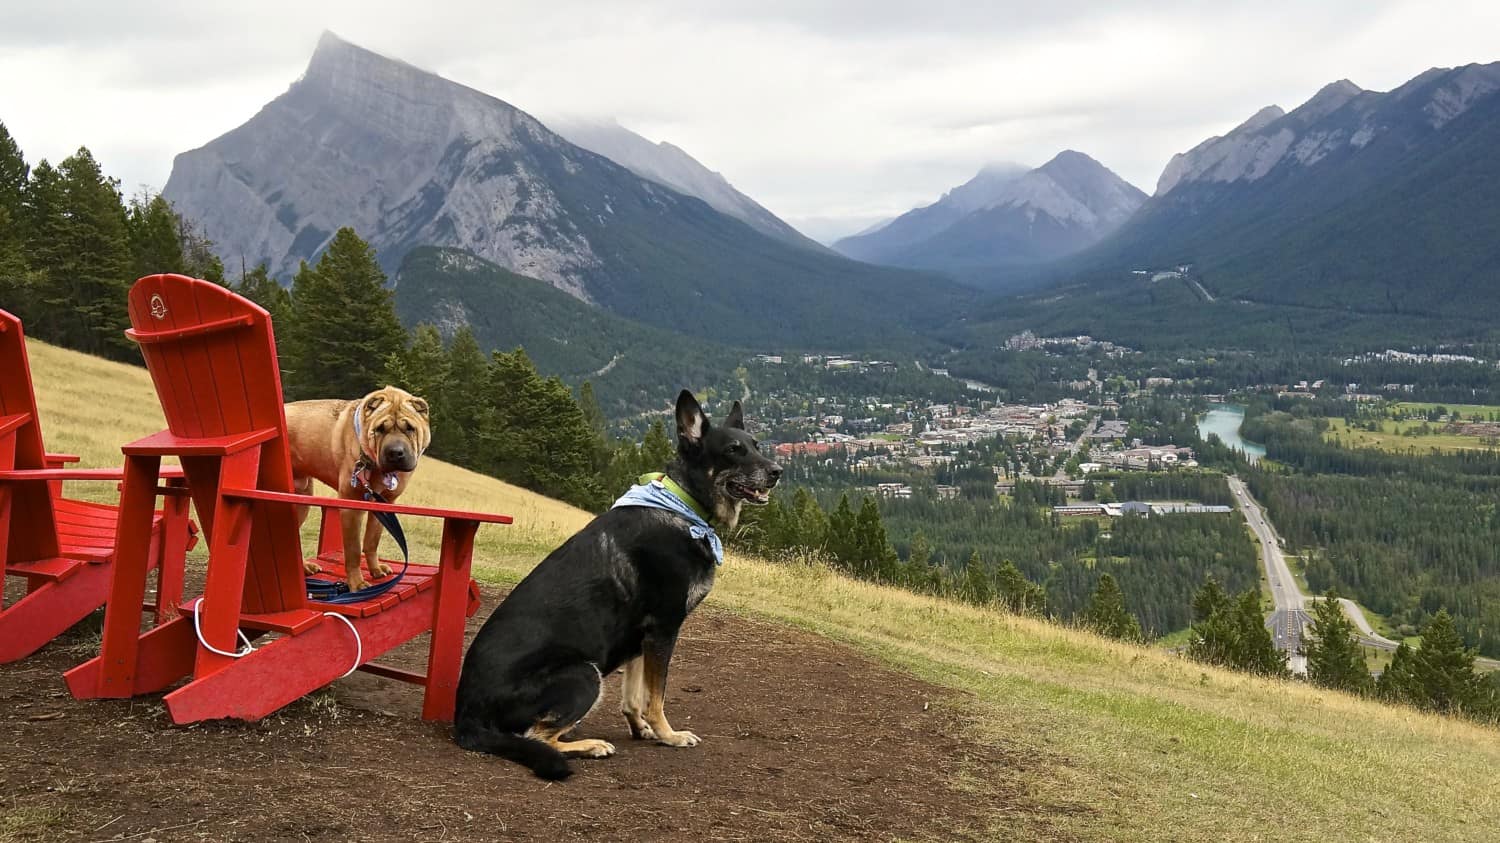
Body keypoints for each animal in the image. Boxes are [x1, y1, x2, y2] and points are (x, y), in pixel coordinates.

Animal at [283, 384, 432, 588]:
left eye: (410, 428)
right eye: (380, 429)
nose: (395, 453)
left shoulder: (384, 503)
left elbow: (372, 540)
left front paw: (376, 569)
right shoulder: (352, 504)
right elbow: (353, 549)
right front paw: (357, 583)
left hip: (302, 498)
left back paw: (305, 566)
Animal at [453, 387, 786, 774]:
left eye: (756, 445)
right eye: (733, 450)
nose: (777, 472)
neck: (682, 505)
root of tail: (465, 720)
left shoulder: (641, 638)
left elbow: (634, 697)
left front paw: (642, 730)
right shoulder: (664, 628)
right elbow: (656, 696)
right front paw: (669, 735)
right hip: (584, 674)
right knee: (537, 737)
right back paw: (591, 745)